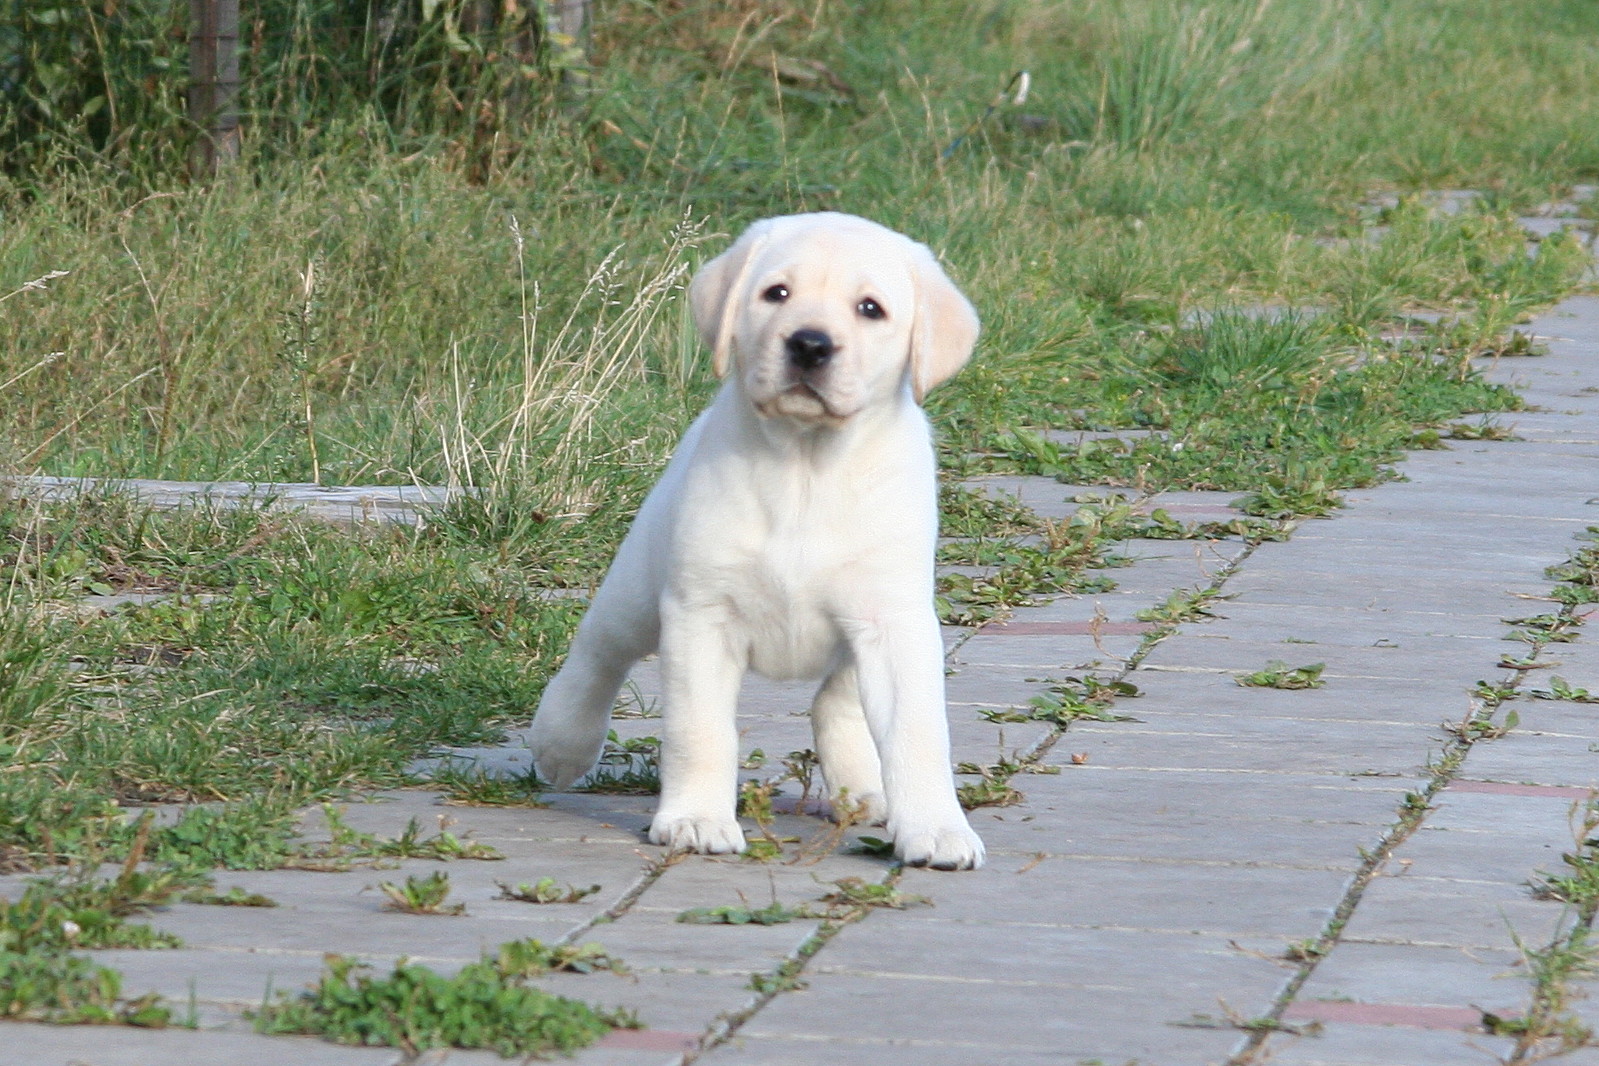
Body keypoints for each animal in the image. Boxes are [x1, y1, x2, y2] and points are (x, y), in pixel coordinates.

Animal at [534, 214, 984, 869]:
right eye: (777, 293)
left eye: (870, 309)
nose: (810, 345)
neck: (806, 465)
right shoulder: (701, 615)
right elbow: (699, 731)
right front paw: (696, 820)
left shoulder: (894, 619)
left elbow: (917, 733)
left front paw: (937, 829)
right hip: (639, 589)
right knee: (599, 652)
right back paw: (561, 743)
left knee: (836, 698)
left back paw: (862, 789)